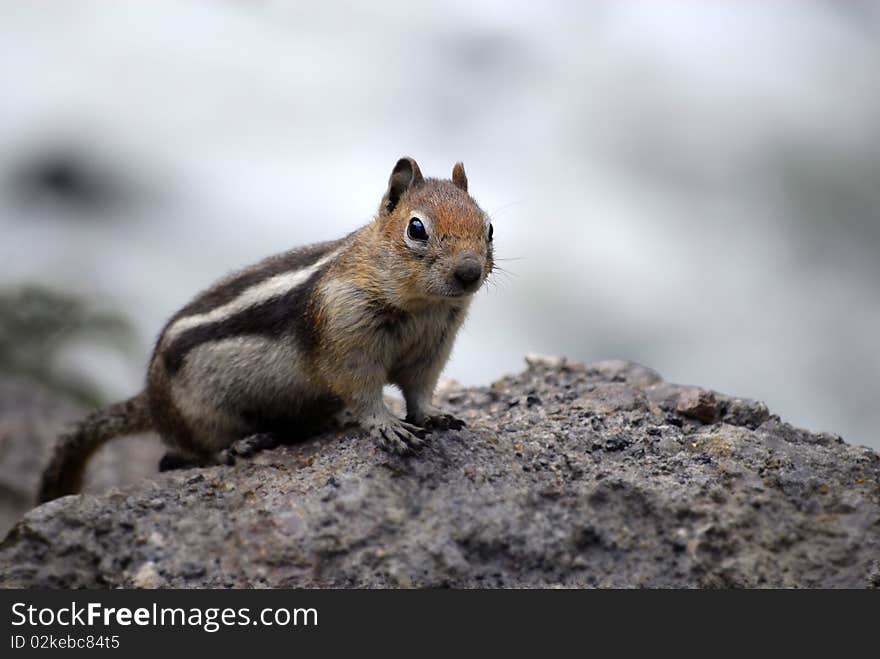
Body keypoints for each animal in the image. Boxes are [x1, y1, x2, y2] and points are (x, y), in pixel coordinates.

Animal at [37, 159, 492, 500]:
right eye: (416, 229)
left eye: (488, 227)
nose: (470, 272)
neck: (422, 307)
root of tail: (151, 399)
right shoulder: (346, 343)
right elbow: (362, 392)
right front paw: (387, 425)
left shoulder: (432, 349)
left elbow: (420, 390)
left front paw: (434, 415)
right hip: (198, 412)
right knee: (186, 452)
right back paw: (238, 446)